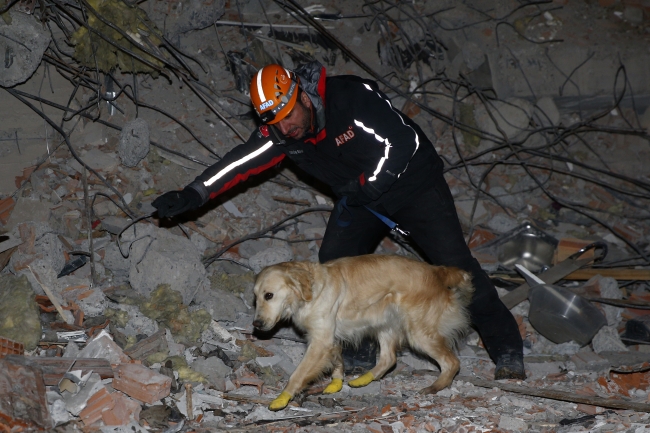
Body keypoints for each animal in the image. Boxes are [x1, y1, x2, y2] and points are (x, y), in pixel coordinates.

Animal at [251, 255, 474, 410]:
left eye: (269, 295)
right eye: (256, 297)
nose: (256, 324)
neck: (312, 290)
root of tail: (438, 271)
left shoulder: (320, 341)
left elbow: (298, 374)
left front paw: (283, 397)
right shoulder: (329, 339)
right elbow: (337, 361)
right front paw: (336, 382)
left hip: (419, 333)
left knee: (452, 362)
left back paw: (435, 387)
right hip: (386, 324)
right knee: (389, 358)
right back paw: (364, 378)